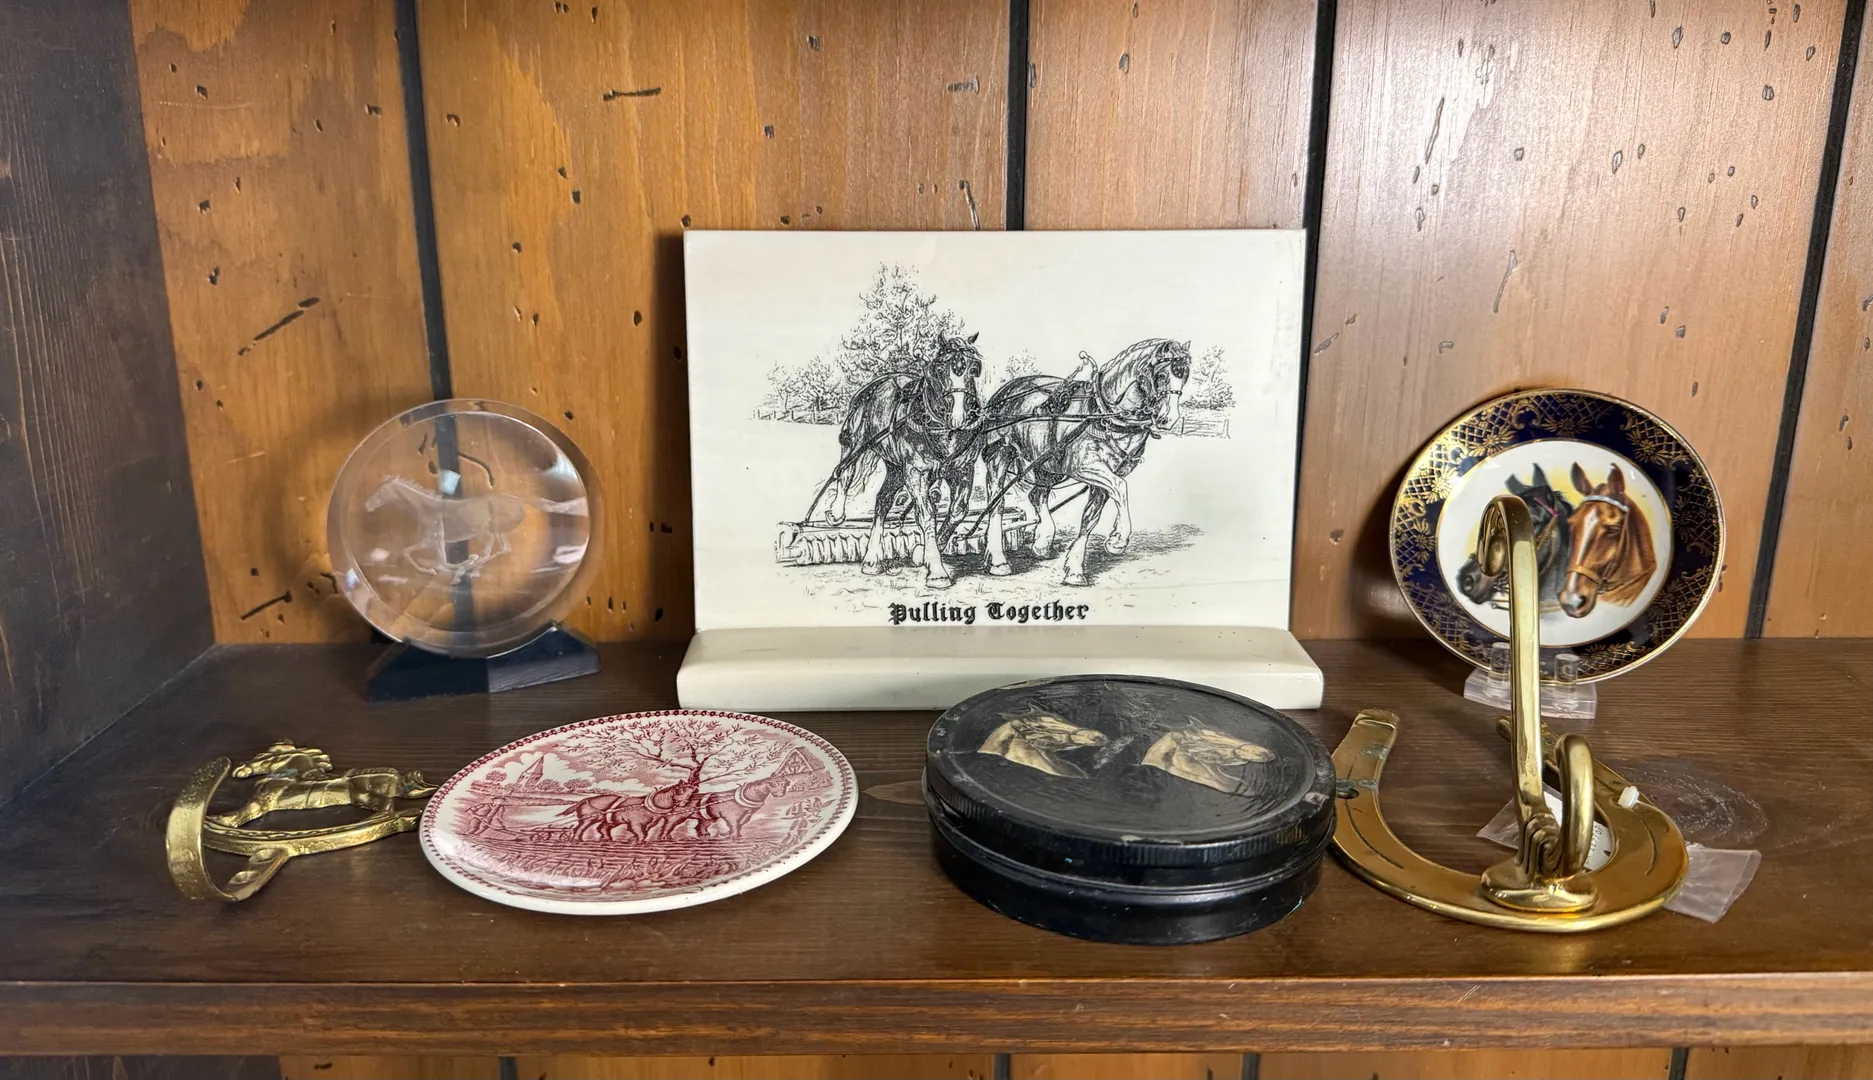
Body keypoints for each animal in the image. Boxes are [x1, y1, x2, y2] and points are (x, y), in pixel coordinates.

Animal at [815, 330, 985, 588]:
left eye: (975, 367)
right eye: (939, 368)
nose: (960, 415)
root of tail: (876, 384)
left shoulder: (963, 470)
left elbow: (957, 511)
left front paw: (923, 553)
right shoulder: (916, 473)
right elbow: (926, 515)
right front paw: (936, 570)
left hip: (895, 468)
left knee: (883, 502)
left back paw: (872, 559)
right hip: (855, 442)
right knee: (844, 471)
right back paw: (837, 513)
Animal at [977, 338, 1191, 587]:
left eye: (1185, 375)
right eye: (1162, 375)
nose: (1169, 419)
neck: (1103, 413)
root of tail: (1004, 393)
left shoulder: (1107, 473)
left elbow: (1090, 518)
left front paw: (1075, 569)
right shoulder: (1086, 468)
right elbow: (1121, 488)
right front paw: (1118, 539)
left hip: (1048, 464)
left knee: (1037, 495)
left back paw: (1042, 542)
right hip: (1000, 455)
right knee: (996, 503)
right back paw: (998, 560)